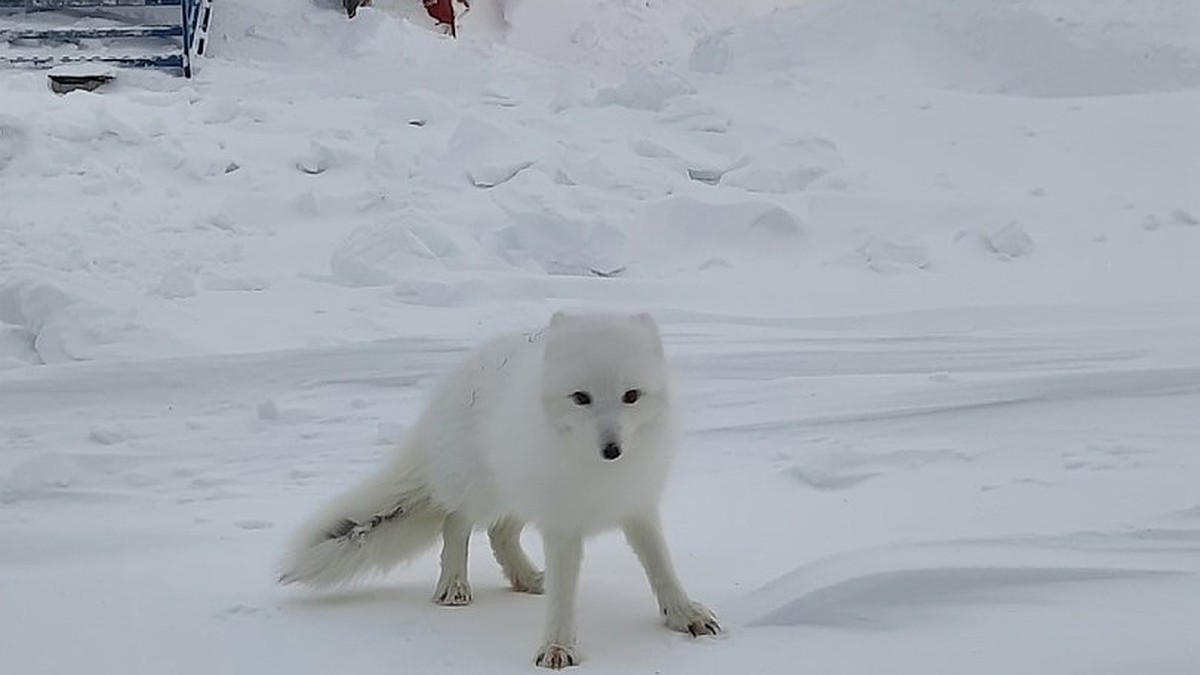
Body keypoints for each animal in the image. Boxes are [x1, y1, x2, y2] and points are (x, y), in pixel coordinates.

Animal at [276, 312, 715, 667]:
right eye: (581, 398)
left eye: (631, 396)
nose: (612, 450)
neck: (599, 476)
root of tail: (454, 380)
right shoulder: (562, 522)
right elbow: (563, 597)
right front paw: (557, 646)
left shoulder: (637, 505)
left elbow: (661, 567)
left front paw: (685, 616)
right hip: (481, 490)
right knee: (456, 523)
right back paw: (454, 585)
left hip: (516, 493)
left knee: (500, 534)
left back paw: (528, 579)